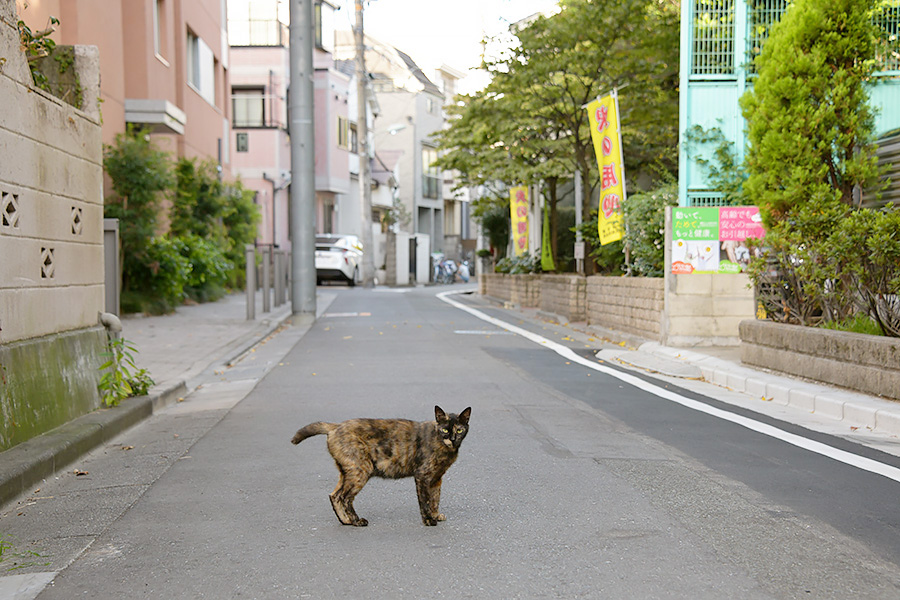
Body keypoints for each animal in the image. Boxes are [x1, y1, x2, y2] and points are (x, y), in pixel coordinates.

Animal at [290, 406, 474, 528]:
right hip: (360, 471)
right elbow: (425, 500)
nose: (452, 439)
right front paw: (428, 519)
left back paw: (346, 521)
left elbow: (435, 498)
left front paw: (436, 514)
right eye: (445, 429)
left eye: (459, 430)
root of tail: (336, 426)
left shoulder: (436, 478)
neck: (445, 447)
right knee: (344, 497)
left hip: (346, 472)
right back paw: (356, 521)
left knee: (334, 495)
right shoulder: (422, 476)